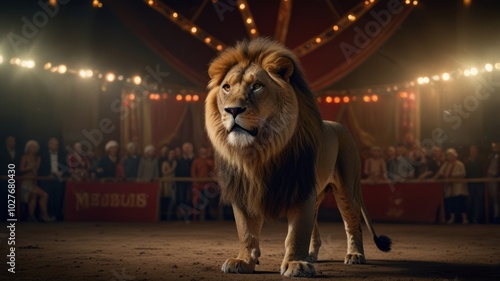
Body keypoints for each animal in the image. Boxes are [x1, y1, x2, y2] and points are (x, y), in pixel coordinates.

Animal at [204, 38, 390, 276]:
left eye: (257, 86)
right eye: (226, 87)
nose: (232, 110)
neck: (259, 151)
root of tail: (339, 126)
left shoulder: (300, 187)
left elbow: (297, 232)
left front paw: (296, 264)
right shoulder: (244, 190)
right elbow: (246, 231)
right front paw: (243, 261)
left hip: (347, 190)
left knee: (353, 224)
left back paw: (355, 255)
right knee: (316, 227)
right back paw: (311, 255)